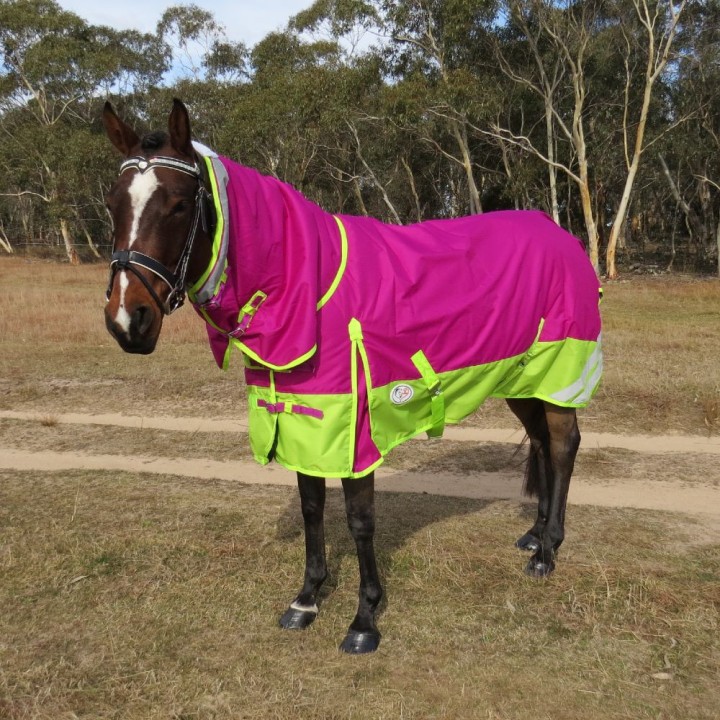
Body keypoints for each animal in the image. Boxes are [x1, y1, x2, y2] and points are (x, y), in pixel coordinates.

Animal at [102, 99, 602, 654]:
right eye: (113, 204)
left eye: (178, 205)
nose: (127, 321)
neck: (304, 284)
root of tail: (561, 236)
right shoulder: (302, 417)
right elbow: (312, 507)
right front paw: (307, 598)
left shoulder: (353, 427)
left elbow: (360, 520)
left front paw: (365, 619)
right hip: (521, 379)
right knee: (541, 443)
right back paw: (535, 535)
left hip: (558, 373)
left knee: (563, 444)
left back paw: (548, 551)